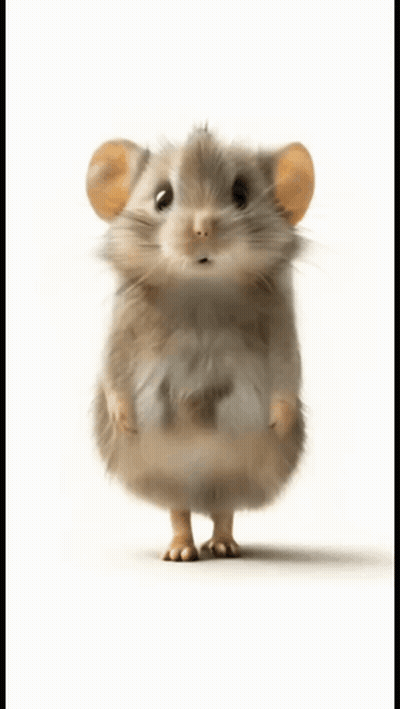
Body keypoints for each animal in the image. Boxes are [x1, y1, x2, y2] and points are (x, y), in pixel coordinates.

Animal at [87, 127, 314, 560]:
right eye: (162, 197)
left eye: (241, 194)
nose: (202, 229)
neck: (202, 291)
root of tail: (201, 489)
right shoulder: (123, 326)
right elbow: (114, 372)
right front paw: (125, 421)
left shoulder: (281, 326)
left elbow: (287, 372)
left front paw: (279, 421)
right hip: (168, 474)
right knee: (179, 510)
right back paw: (181, 550)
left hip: (237, 474)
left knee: (225, 509)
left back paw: (223, 545)